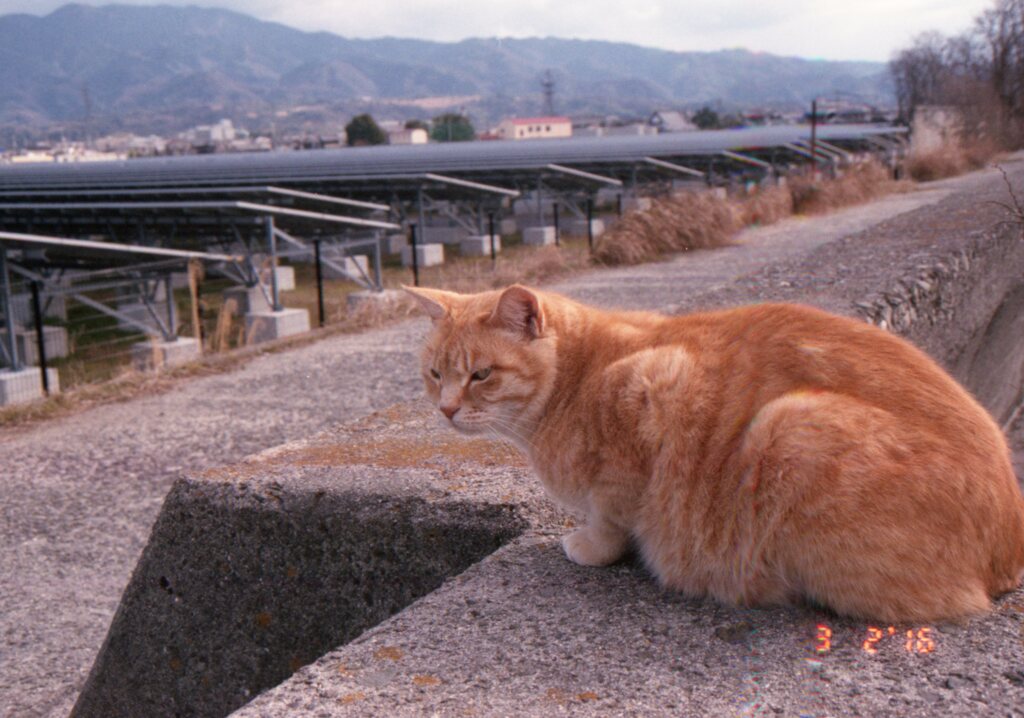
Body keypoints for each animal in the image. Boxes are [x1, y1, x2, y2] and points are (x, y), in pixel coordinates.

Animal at [403, 282, 1019, 618]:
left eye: (481, 375)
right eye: (434, 374)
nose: (447, 409)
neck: (579, 377)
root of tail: (1008, 552)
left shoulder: (653, 394)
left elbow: (612, 515)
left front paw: (592, 546)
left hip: (788, 426)